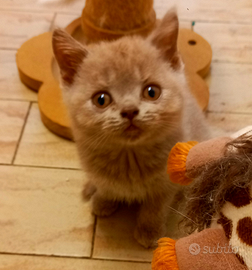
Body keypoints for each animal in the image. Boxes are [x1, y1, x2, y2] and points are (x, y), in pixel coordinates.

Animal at [52, 10, 210, 248]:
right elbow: (106, 186)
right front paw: (103, 200)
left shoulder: (166, 183)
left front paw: (149, 230)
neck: (129, 159)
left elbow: (156, 206)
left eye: (152, 92)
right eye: (101, 99)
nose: (129, 110)